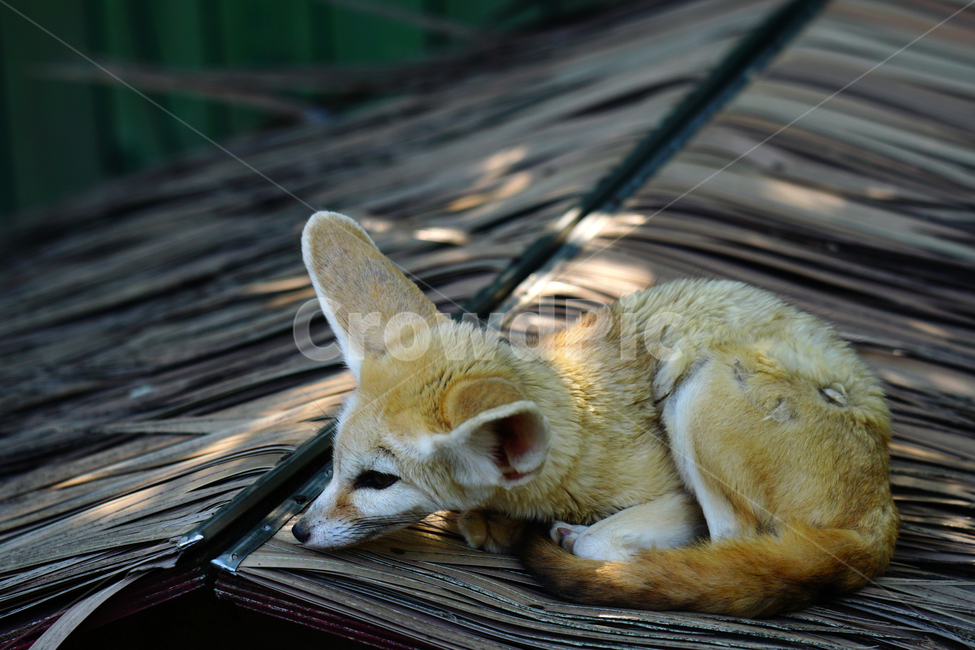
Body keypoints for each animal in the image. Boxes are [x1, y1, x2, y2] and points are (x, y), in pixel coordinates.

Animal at [291, 211, 898, 617]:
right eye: (335, 465)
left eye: (377, 480)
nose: (298, 529)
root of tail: (883, 509)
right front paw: (489, 520)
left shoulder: (671, 493)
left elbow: (611, 536)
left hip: (697, 387)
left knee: (729, 539)